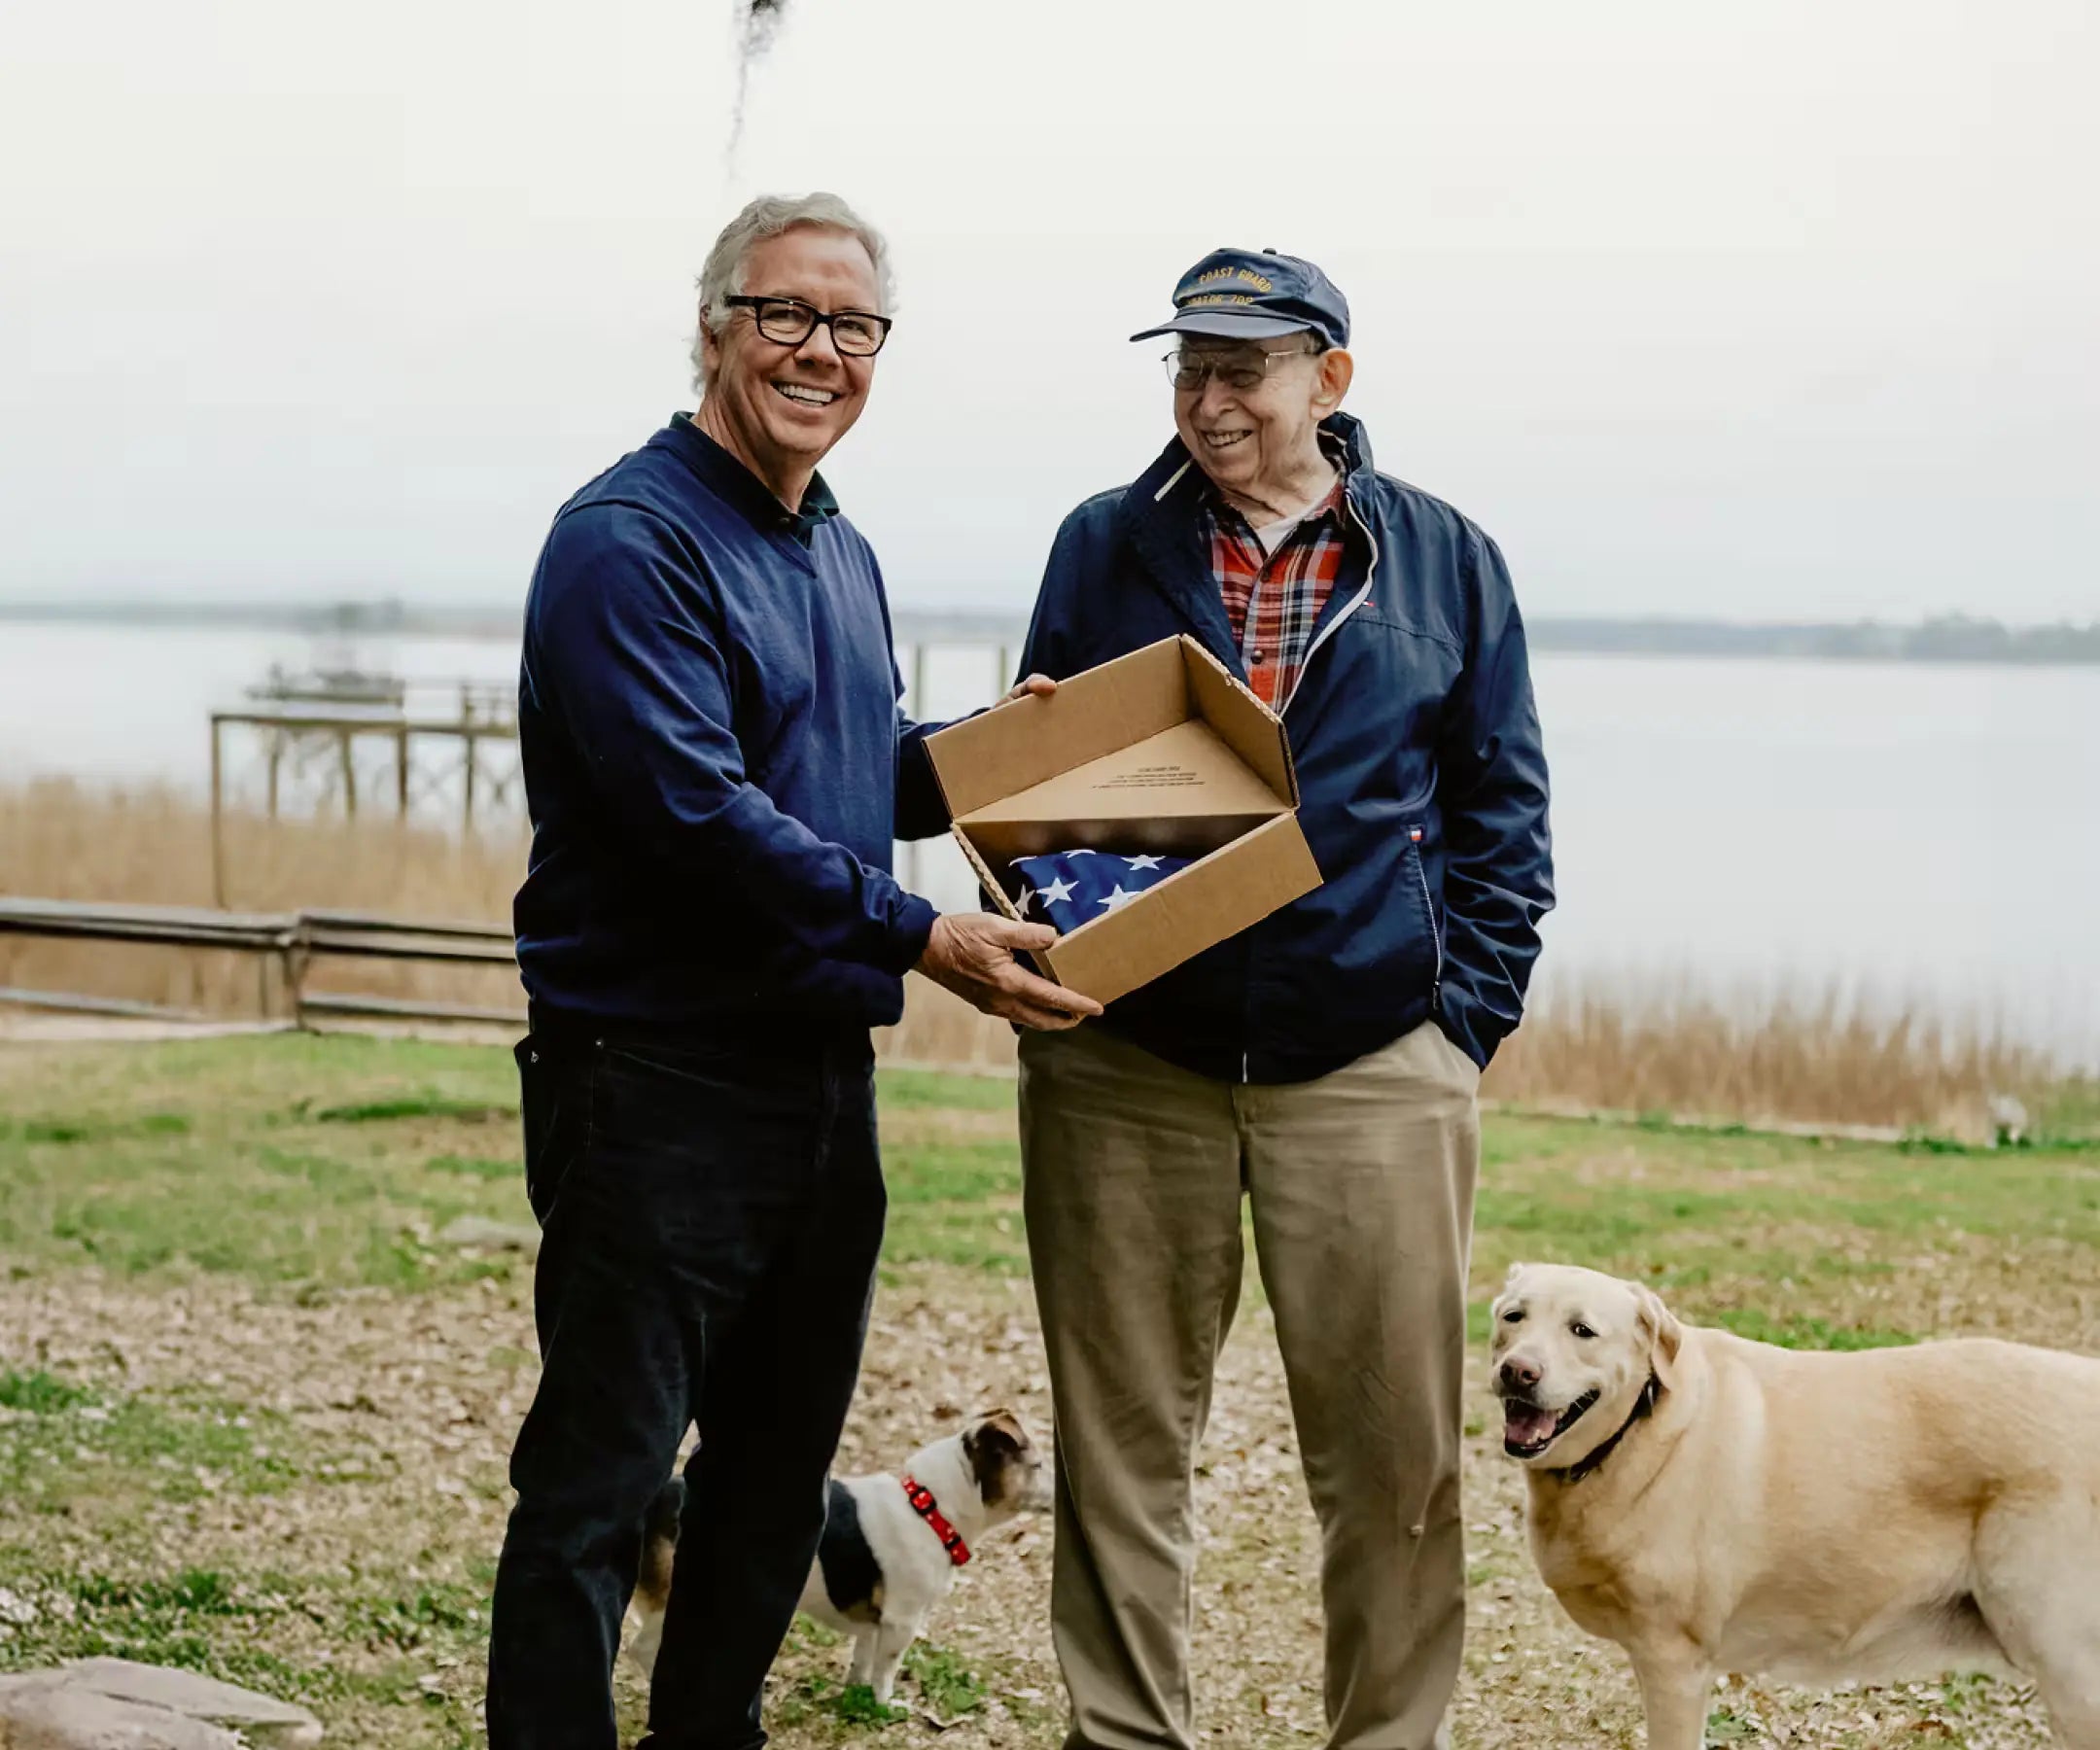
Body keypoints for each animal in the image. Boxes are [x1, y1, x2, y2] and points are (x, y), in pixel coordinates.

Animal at [628, 1408, 1043, 1703]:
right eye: (1039, 1466)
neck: (929, 1509)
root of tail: (657, 1501)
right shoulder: (901, 1622)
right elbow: (886, 1670)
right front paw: (885, 1706)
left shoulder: (876, 1623)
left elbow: (863, 1660)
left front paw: (855, 1695)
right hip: (677, 1602)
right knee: (644, 1650)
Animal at [1490, 1262, 2100, 1749]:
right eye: (1514, 1318)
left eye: (1582, 1330)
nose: (1517, 1371)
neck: (1638, 1429)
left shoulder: (1674, 1662)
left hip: (2071, 1671)